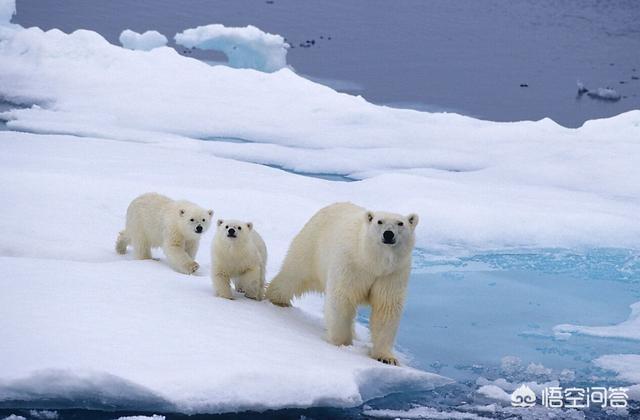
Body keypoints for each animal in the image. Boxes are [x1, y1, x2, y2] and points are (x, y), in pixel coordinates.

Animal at [264, 201, 418, 364]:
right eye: (379, 221)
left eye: (400, 223)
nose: (388, 234)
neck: (371, 261)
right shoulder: (351, 264)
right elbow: (342, 298)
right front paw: (342, 344)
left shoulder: (392, 273)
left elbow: (386, 307)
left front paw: (386, 357)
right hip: (312, 246)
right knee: (293, 274)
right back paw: (277, 299)